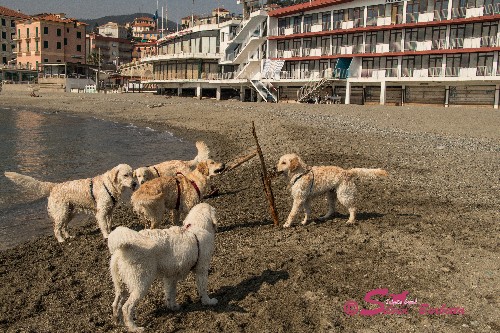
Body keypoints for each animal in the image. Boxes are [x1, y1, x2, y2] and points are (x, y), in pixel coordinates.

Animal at [4, 164, 137, 240]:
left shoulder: (109, 211)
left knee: (64, 227)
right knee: (57, 229)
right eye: (125, 175)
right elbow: (104, 225)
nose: (135, 183)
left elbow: (109, 224)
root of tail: (54, 186)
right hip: (61, 212)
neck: (110, 185)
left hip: (70, 212)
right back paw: (61, 240)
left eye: (133, 174)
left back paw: (69, 236)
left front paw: (111, 232)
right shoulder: (101, 212)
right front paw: (106, 235)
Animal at [108, 202, 218, 332]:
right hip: (141, 284)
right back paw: (134, 327)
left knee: (116, 303)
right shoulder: (202, 270)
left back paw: (118, 321)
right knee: (127, 307)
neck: (197, 227)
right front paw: (208, 301)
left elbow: (170, 294)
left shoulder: (170, 278)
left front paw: (173, 307)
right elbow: (203, 289)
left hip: (121, 285)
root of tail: (123, 247)